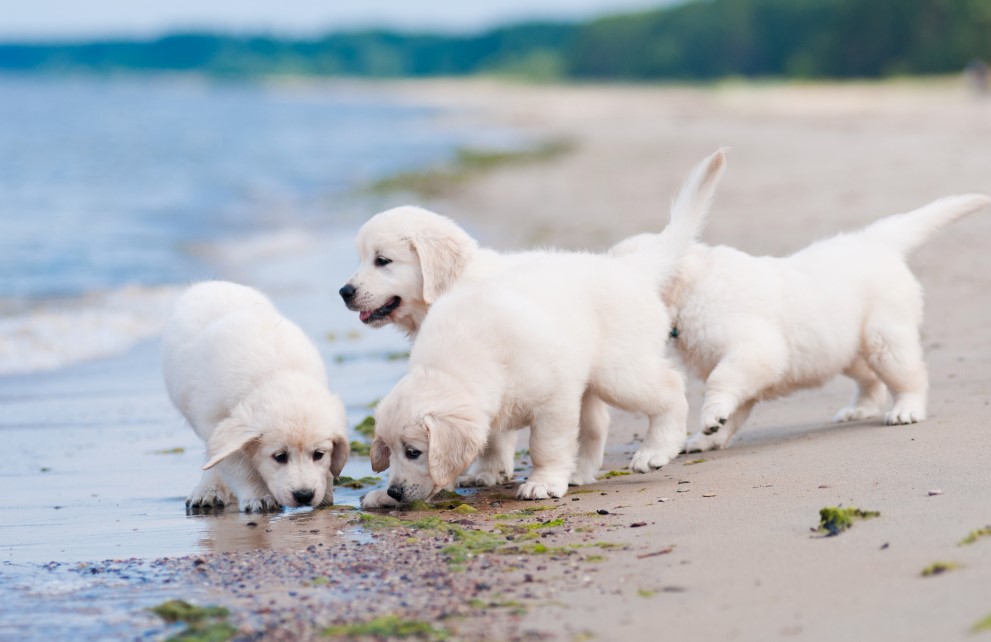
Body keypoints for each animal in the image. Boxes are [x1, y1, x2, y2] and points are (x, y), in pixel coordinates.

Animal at [163, 280, 348, 510]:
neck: (275, 374)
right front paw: (259, 496)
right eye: (279, 456)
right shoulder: (217, 423)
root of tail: (211, 284)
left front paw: (326, 491)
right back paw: (208, 490)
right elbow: (238, 465)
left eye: (318, 454)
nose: (304, 495)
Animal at [360, 150, 724, 504]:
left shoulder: (555, 401)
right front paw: (487, 473)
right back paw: (580, 473)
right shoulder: (497, 407)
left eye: (413, 452)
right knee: (597, 425)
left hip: (619, 372)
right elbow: (492, 439)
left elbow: (545, 445)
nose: (395, 491)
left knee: (669, 387)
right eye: (388, 451)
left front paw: (543, 482)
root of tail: (628, 268)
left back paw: (655, 450)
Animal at [612, 182, 991, 452]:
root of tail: (874, 241)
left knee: (909, 376)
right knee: (870, 379)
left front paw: (711, 418)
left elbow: (721, 381)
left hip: (885, 337)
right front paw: (710, 437)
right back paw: (860, 409)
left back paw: (906, 410)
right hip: (842, 348)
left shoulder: (754, 351)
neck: (693, 288)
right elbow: (735, 405)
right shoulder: (747, 368)